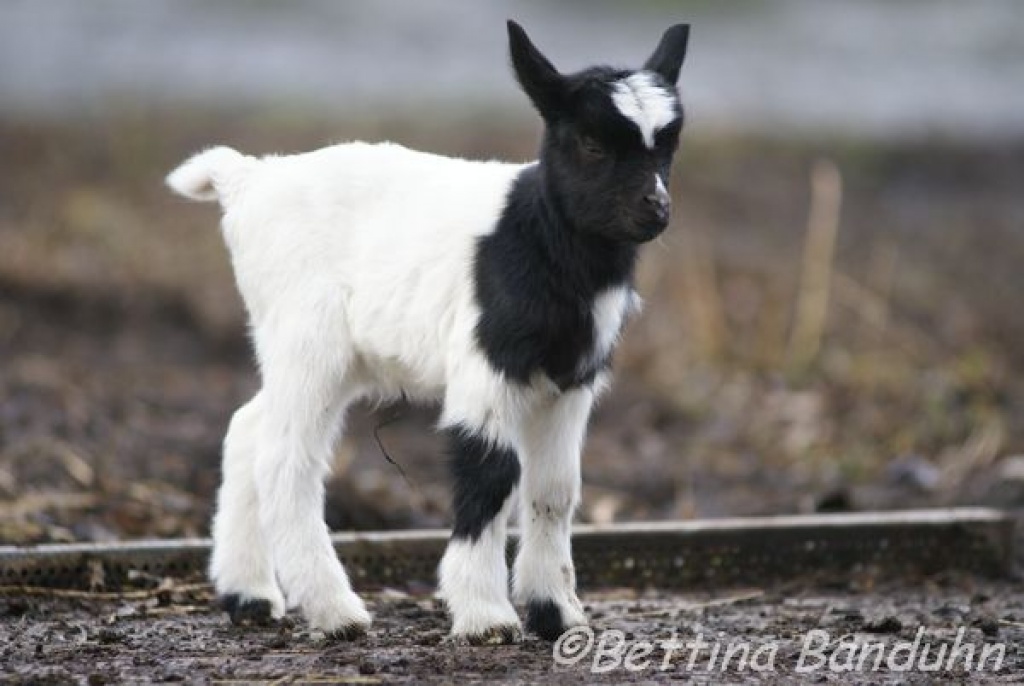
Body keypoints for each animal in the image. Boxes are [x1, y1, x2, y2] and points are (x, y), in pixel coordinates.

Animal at [167, 21, 692, 647]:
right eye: (591, 143)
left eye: (668, 144)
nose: (655, 209)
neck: (537, 238)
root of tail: (250, 179)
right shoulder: (487, 362)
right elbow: (493, 471)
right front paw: (486, 616)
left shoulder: (573, 377)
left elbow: (555, 488)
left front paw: (558, 613)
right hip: (306, 335)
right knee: (285, 457)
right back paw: (335, 610)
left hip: (317, 352)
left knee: (249, 426)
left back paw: (247, 595)